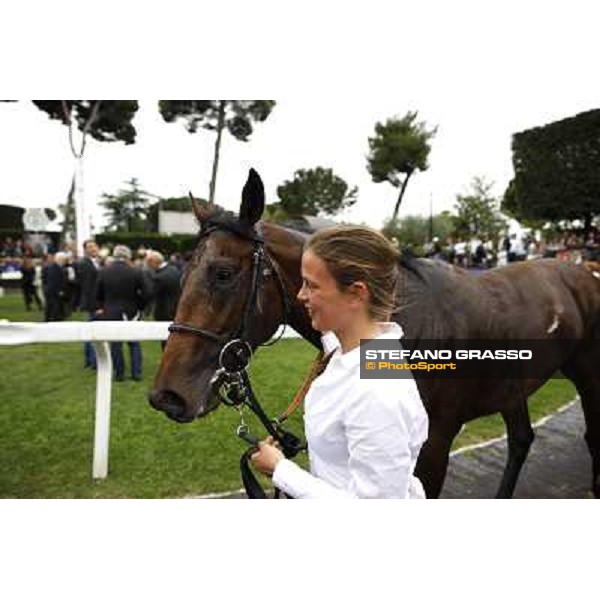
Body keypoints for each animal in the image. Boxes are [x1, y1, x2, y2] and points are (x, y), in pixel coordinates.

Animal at [149, 169, 600, 496]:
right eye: (183, 274)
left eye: (223, 273)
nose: (167, 395)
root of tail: (581, 269)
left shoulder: (433, 445)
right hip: (512, 385)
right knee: (521, 440)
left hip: (587, 375)